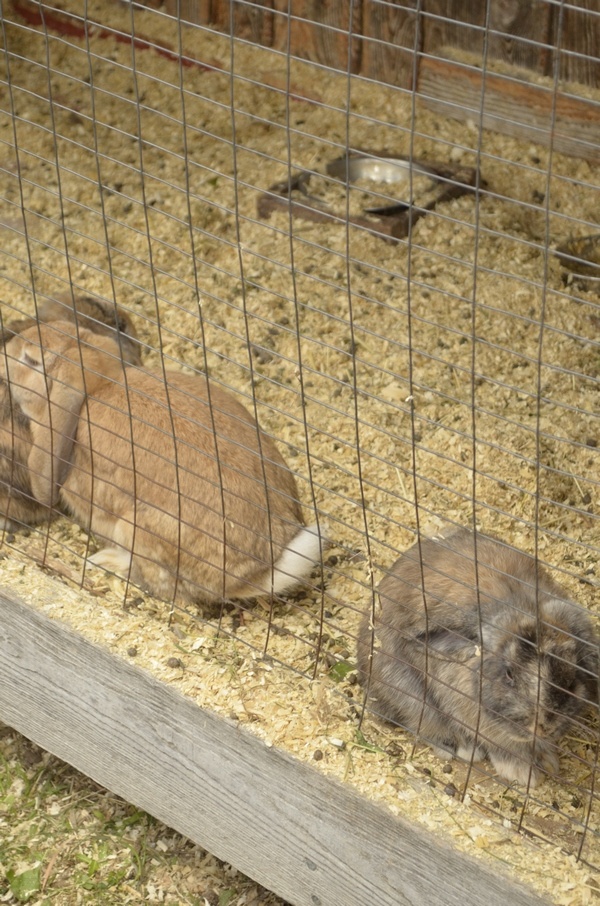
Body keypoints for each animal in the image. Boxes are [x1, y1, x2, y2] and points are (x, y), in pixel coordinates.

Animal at [2, 314, 322, 604]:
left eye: (31, 360)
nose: (6, 351)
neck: (98, 388)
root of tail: (249, 576)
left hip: (135, 530)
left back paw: (104, 560)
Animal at [358, 528, 596, 784]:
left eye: (570, 677)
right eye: (509, 674)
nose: (543, 727)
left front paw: (547, 761)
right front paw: (524, 775)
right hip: (407, 693)